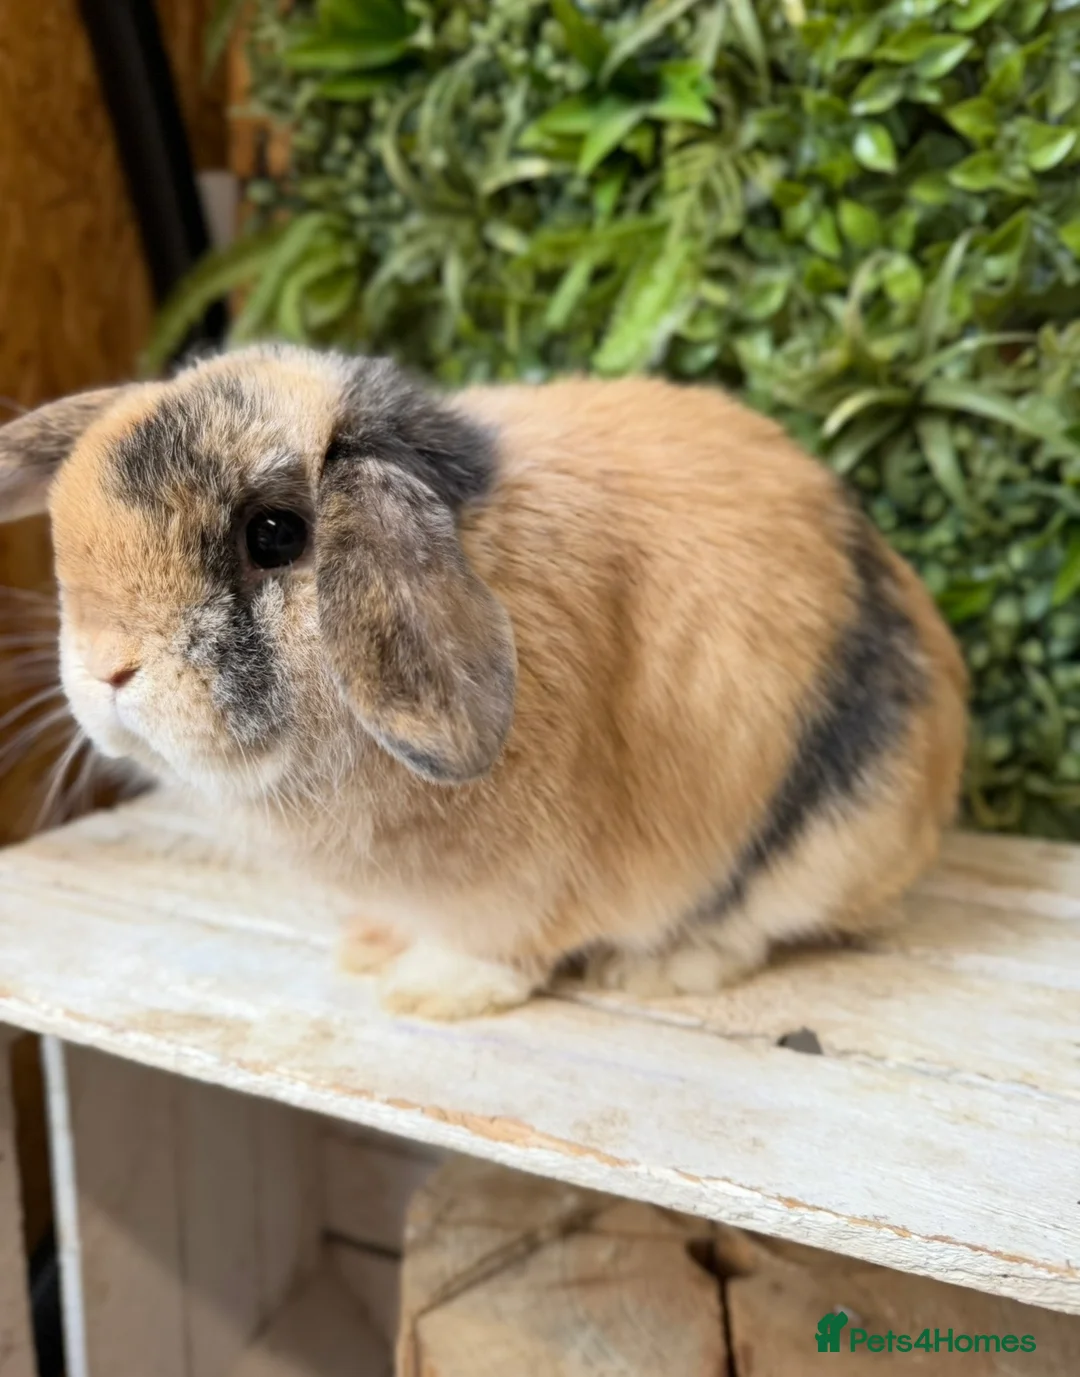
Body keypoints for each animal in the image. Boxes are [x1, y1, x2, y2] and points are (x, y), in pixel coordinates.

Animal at [0, 345, 967, 1019]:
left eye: (273, 534)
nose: (108, 668)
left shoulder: (517, 891)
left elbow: (496, 952)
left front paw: (428, 993)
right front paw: (369, 948)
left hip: (824, 843)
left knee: (754, 919)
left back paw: (657, 967)